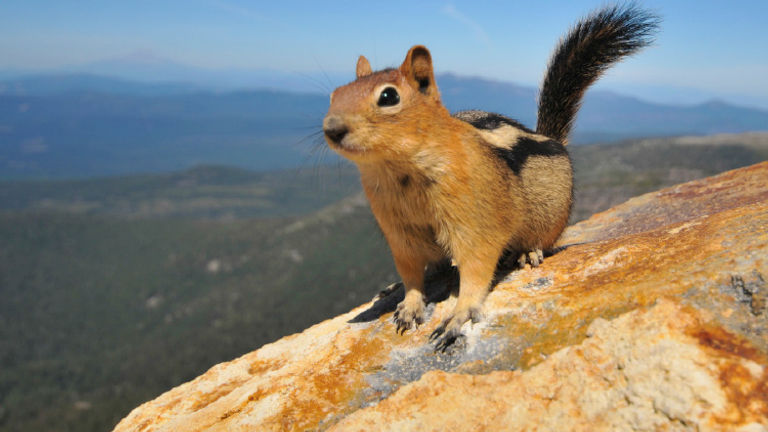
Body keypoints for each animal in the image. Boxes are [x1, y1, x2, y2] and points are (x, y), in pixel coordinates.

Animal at [323, 4, 659, 350]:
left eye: (388, 97)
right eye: (335, 94)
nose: (332, 129)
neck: (399, 172)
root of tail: (551, 139)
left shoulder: (474, 222)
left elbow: (476, 267)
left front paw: (458, 315)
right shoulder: (399, 234)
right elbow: (411, 274)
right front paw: (409, 303)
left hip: (550, 220)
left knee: (542, 241)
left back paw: (527, 251)